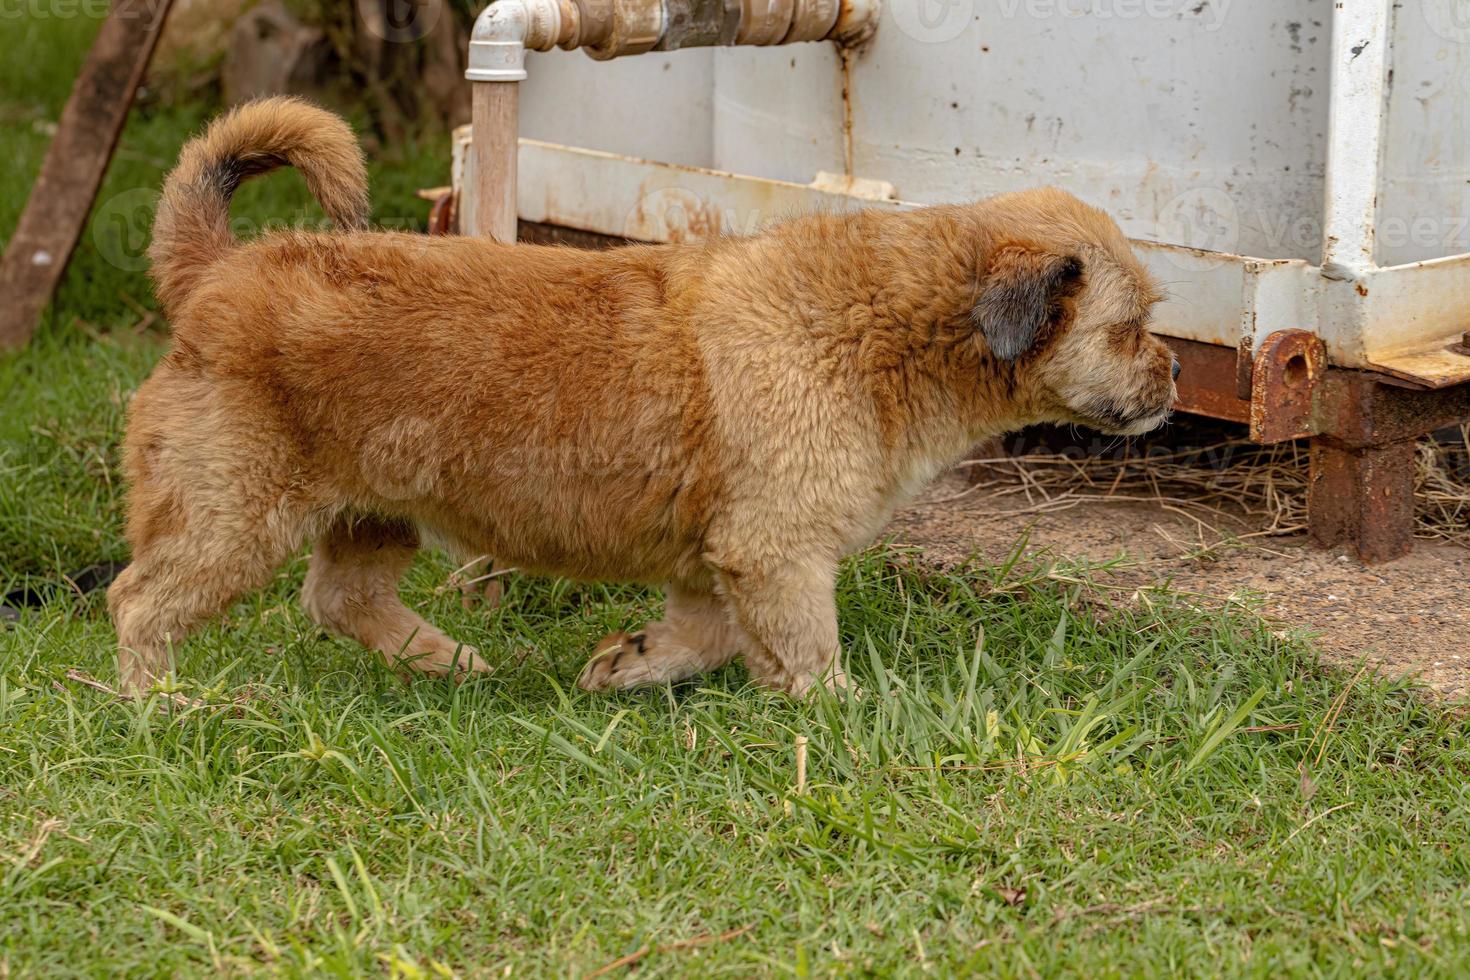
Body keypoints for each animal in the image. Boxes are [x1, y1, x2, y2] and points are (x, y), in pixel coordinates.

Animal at [108, 97, 1176, 696]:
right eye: (1129, 329)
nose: (1171, 375)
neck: (883, 323)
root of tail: (218, 270)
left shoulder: (718, 561)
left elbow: (702, 639)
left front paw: (628, 664)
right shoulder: (779, 553)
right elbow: (807, 650)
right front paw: (846, 716)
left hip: (373, 513)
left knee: (338, 598)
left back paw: (449, 663)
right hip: (230, 513)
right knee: (140, 601)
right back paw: (162, 705)